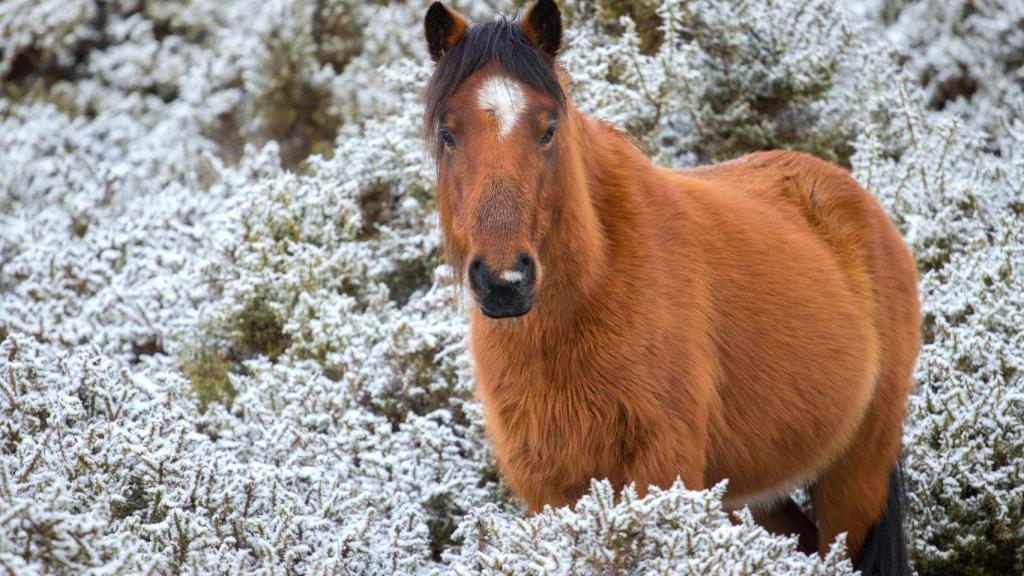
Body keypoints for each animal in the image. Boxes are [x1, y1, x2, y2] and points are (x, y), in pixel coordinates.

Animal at [422, 1, 920, 573]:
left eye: (547, 130)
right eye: (449, 134)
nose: (505, 282)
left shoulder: (661, 472)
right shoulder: (550, 488)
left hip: (855, 477)